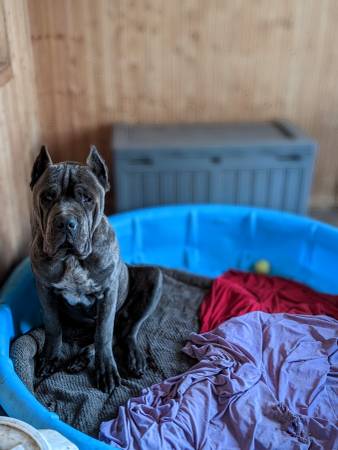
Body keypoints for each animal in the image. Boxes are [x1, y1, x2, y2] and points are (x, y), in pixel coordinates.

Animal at [31, 146, 211, 392]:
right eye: (47, 197)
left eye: (87, 198)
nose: (66, 222)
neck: (72, 258)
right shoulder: (44, 289)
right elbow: (52, 326)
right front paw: (50, 358)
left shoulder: (108, 293)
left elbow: (104, 335)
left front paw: (105, 370)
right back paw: (81, 358)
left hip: (154, 278)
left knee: (127, 331)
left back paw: (132, 358)